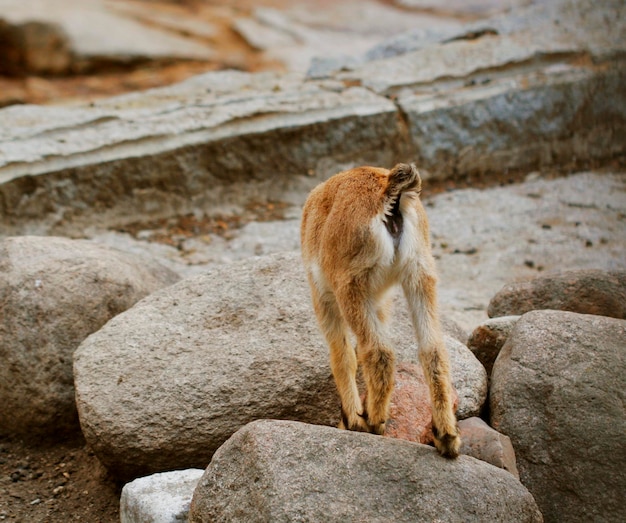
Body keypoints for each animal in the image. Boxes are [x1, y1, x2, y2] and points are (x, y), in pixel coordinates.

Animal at [300, 164, 460, 458]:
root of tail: (389, 193)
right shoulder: (380, 297)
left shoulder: (324, 295)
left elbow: (343, 355)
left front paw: (351, 419)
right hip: (420, 274)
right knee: (433, 351)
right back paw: (446, 437)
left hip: (350, 286)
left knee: (378, 351)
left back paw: (372, 422)